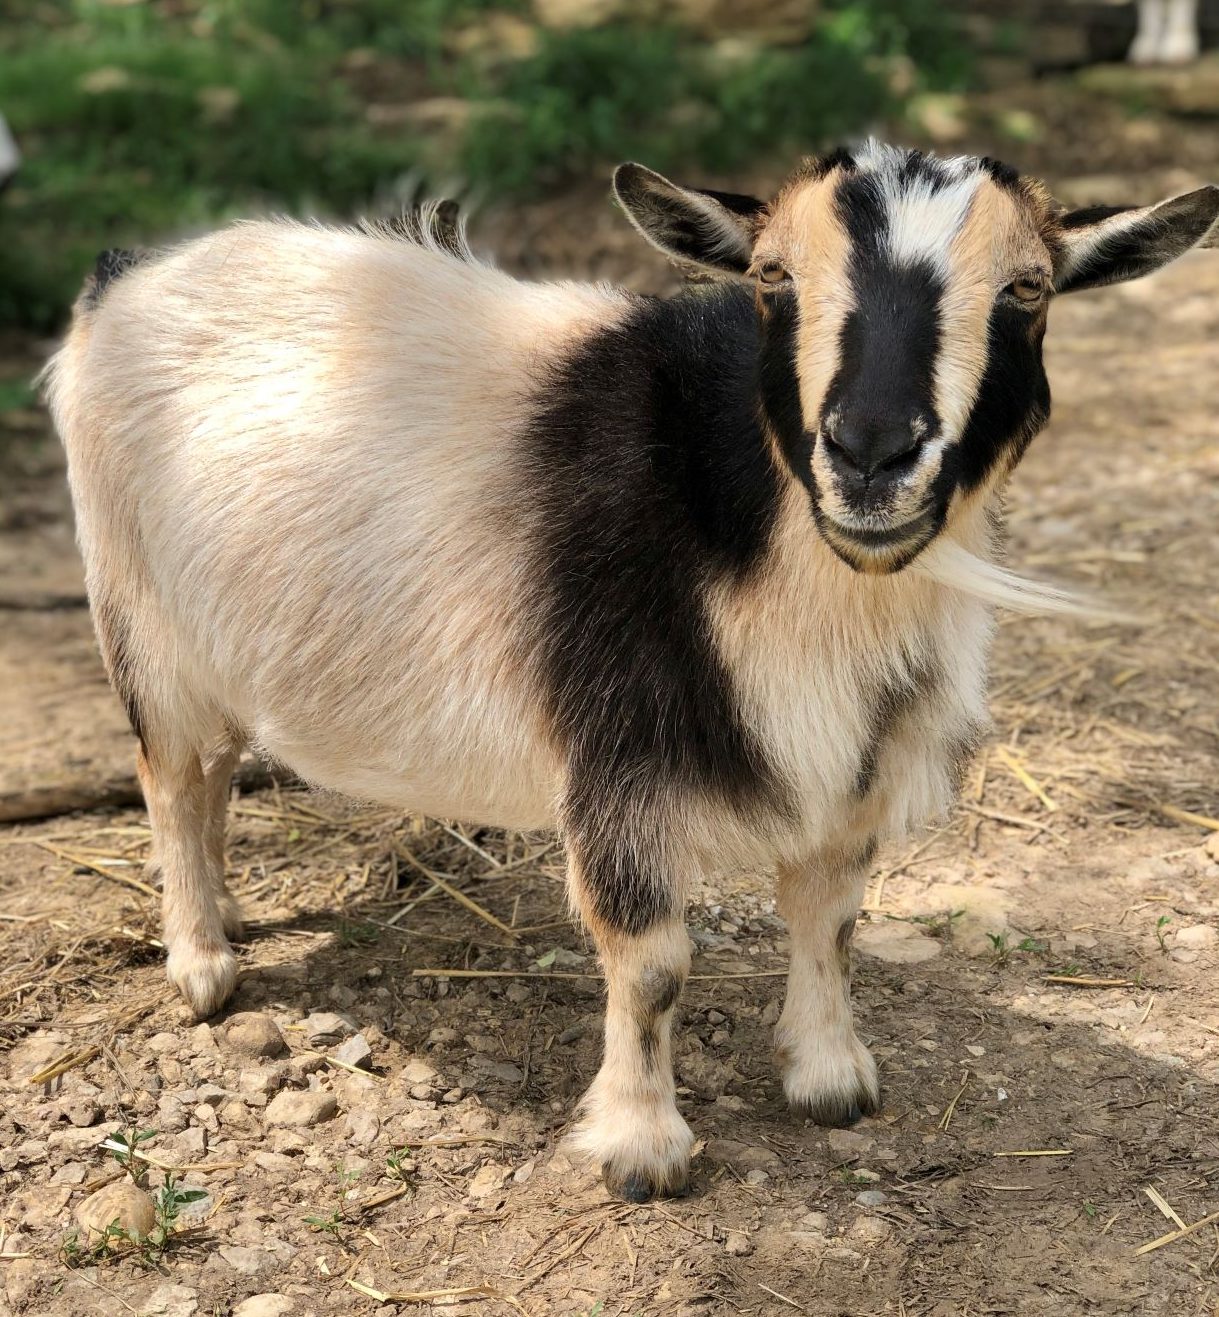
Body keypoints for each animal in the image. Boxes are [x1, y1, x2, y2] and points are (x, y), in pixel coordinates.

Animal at [42, 144, 1216, 1206]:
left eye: (1027, 288)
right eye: (772, 277)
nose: (871, 453)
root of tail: (128, 274)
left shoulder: (855, 752)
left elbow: (832, 915)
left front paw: (830, 1078)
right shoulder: (616, 744)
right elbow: (652, 965)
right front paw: (642, 1149)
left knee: (210, 780)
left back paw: (231, 915)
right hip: (139, 620)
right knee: (170, 781)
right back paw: (202, 964)